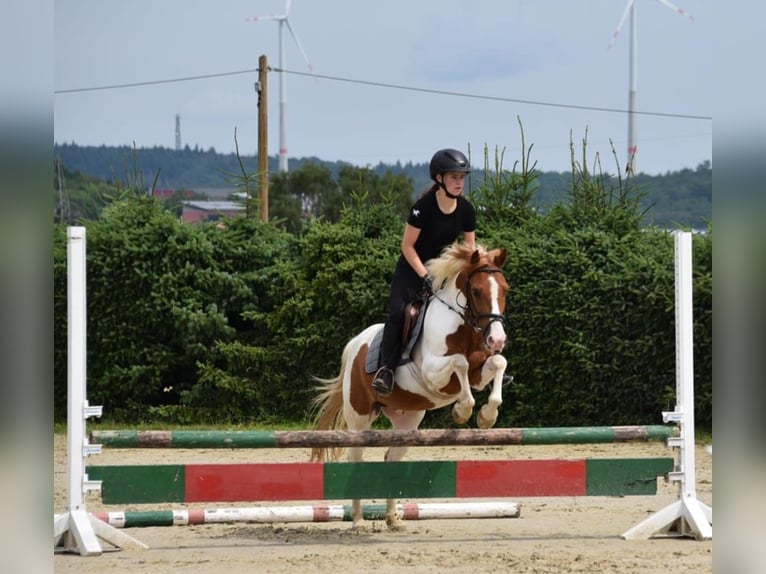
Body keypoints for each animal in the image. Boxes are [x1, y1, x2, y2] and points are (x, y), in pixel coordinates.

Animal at [308, 243, 512, 532]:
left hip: (408, 423)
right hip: (359, 419)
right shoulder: (433, 372)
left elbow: (497, 362)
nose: (497, 339)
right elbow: (459, 363)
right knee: (355, 458)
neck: (462, 327)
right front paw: (462, 410)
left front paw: (487, 416)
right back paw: (358, 520)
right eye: (476, 291)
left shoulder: (478, 373)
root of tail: (354, 344)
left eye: (505, 289)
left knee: (391, 459)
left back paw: (393, 519)